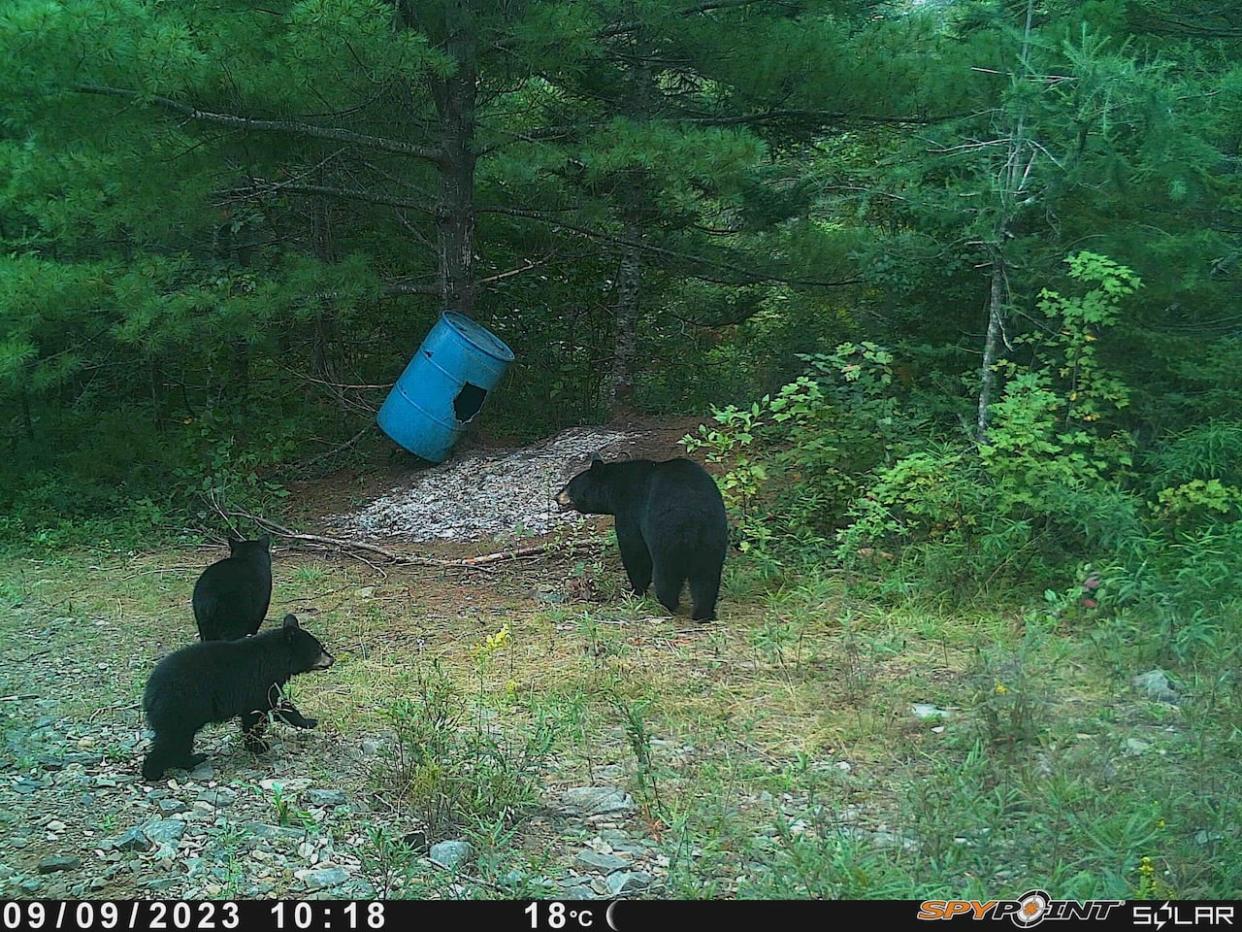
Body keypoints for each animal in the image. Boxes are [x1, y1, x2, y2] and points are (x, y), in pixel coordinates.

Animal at [141, 613, 332, 780]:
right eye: (319, 649)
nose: (332, 659)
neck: (277, 658)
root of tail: (150, 692)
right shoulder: (259, 681)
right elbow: (258, 713)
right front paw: (258, 745)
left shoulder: (269, 683)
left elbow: (278, 705)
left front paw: (308, 721)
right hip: (180, 706)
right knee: (172, 739)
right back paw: (154, 772)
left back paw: (191, 759)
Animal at [556, 457, 725, 623]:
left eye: (570, 485)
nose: (556, 497)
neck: (616, 488)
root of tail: (695, 516)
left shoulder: (630, 511)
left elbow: (634, 550)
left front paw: (635, 591)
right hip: (712, 537)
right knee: (707, 575)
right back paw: (703, 614)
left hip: (667, 534)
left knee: (667, 573)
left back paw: (667, 604)